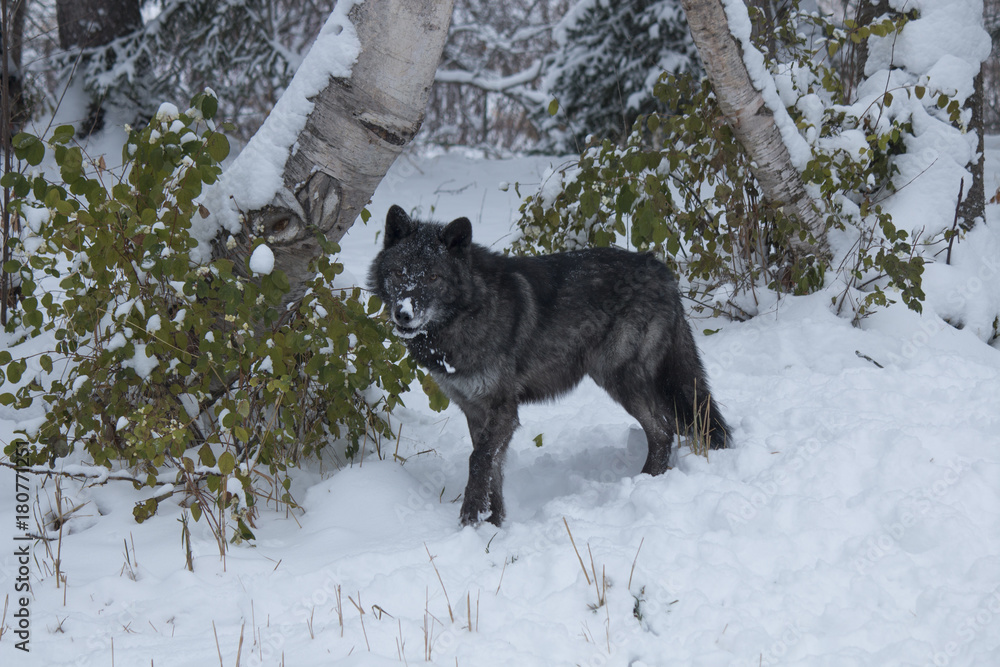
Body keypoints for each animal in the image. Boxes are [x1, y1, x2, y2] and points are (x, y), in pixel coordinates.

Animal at [368, 205, 730, 527]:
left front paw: (470, 518)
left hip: (619, 378)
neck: (468, 312)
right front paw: (494, 523)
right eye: (399, 272)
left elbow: (479, 459)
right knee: (670, 427)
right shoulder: (476, 411)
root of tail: (661, 270)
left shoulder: (503, 409)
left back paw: (641, 485)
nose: (403, 313)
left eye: (433, 276)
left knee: (663, 431)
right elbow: (493, 469)